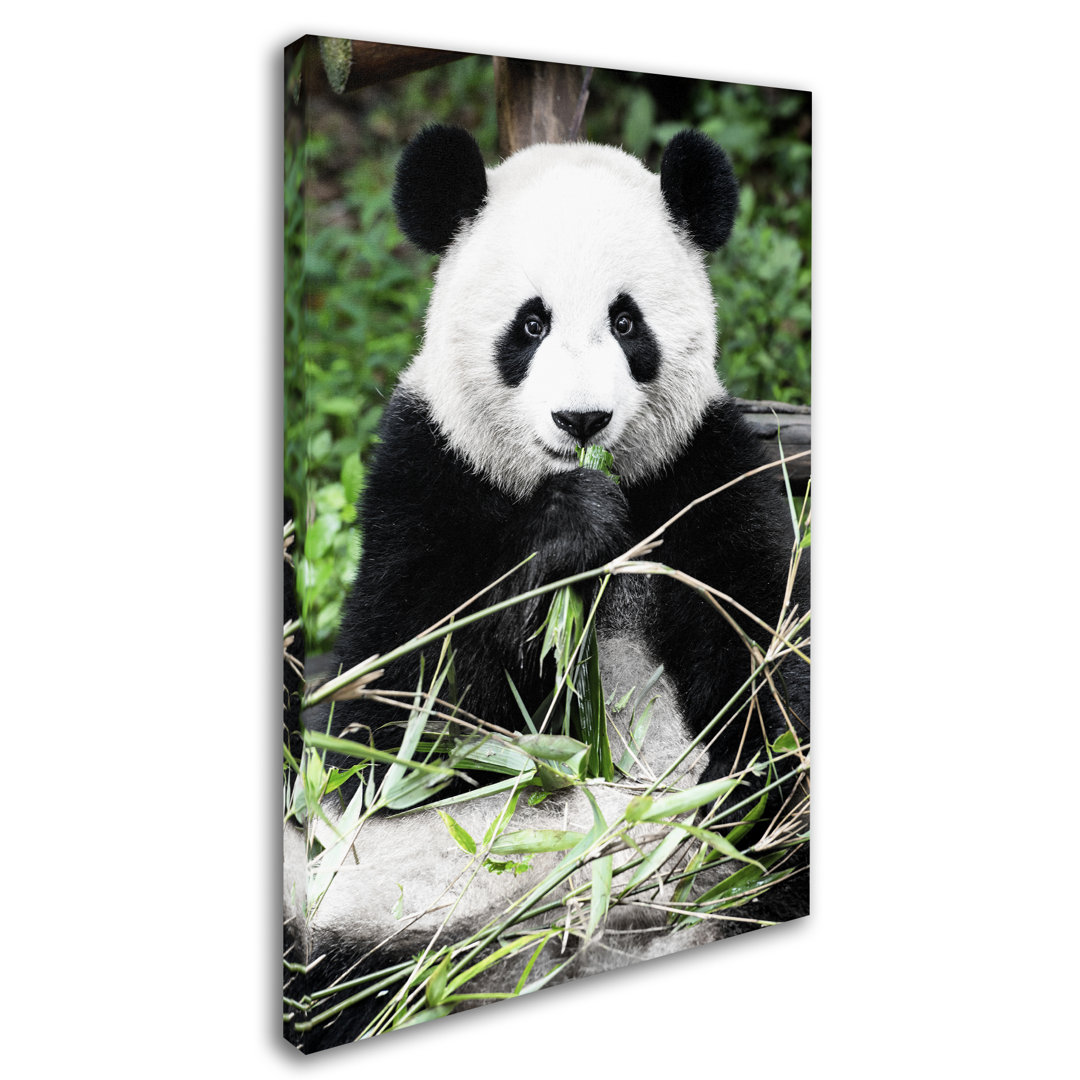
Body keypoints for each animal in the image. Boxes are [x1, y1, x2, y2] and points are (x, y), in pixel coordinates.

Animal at [284, 125, 810, 1052]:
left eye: (626, 321)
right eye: (530, 324)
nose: (582, 422)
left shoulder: (708, 472)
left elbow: (770, 662)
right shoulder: (424, 476)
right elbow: (397, 722)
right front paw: (570, 530)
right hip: (392, 913)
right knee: (342, 970)